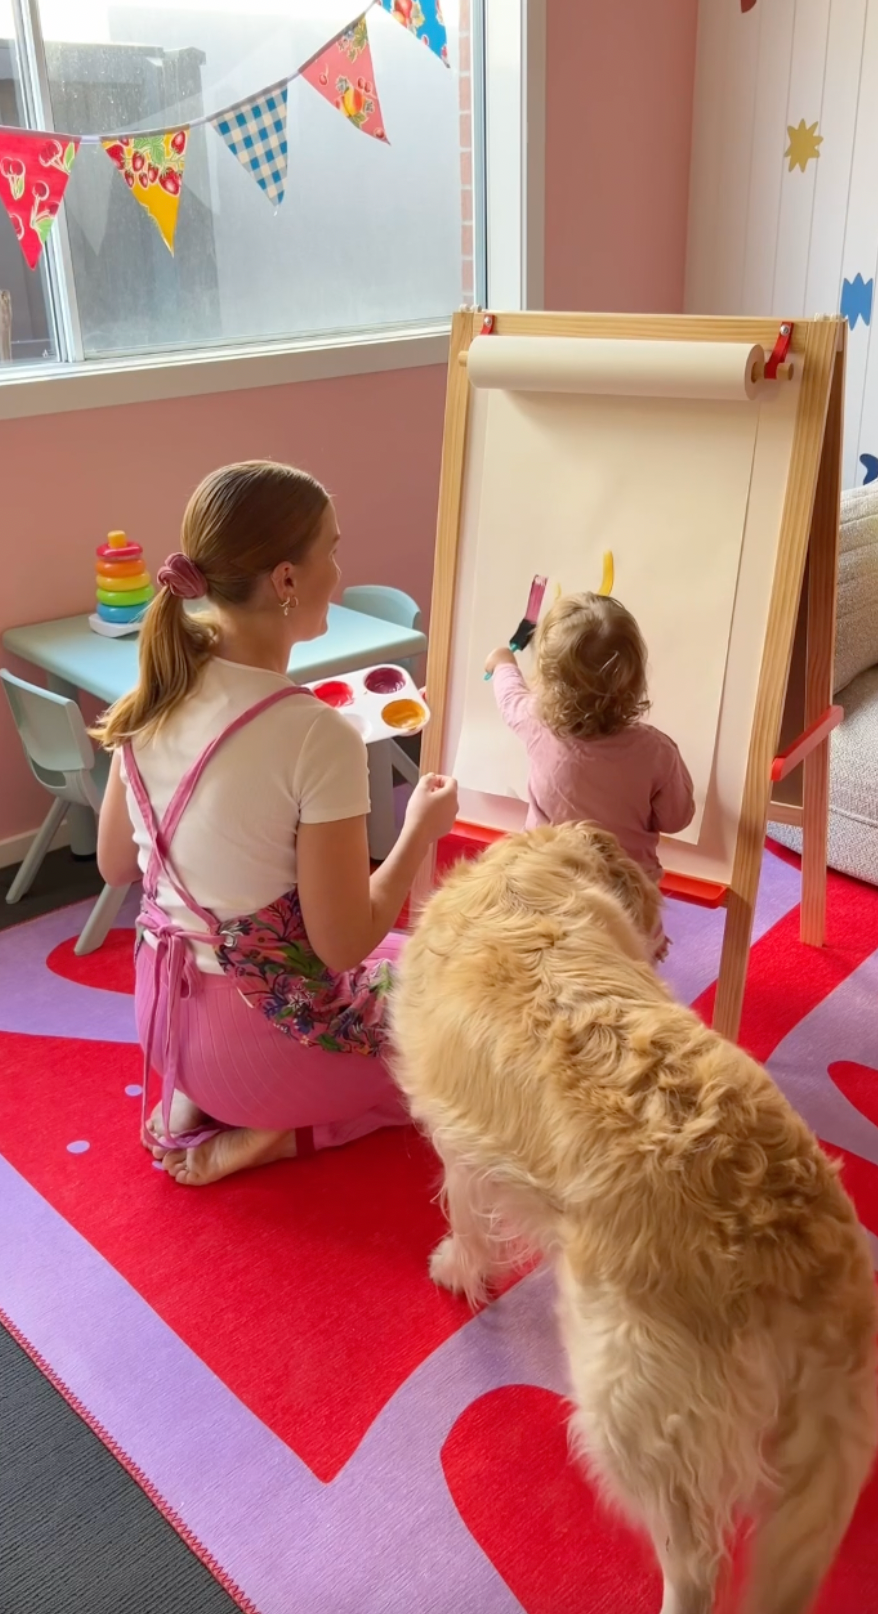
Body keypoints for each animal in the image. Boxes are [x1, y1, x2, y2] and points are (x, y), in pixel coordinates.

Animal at [390, 826, 878, 1607]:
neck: (524, 877)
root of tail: (785, 1231)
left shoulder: (458, 1142)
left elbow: (463, 1213)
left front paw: (456, 1270)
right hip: (828, 1426)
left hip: (634, 1398)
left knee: (697, 1560)